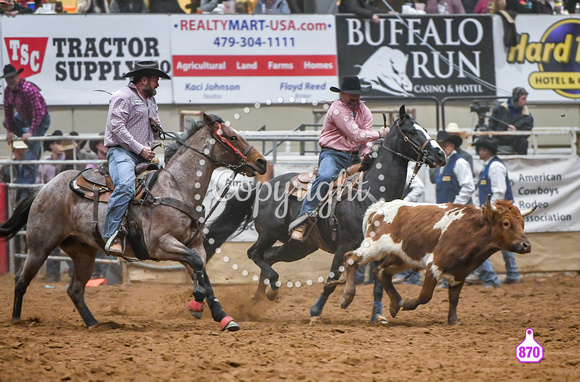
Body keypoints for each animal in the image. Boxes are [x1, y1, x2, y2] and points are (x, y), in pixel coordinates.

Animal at [0, 113, 268, 332]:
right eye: (232, 137)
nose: (262, 162)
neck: (177, 188)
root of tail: (44, 188)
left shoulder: (193, 245)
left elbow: (202, 271)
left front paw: (222, 317)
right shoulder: (161, 244)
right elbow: (197, 266)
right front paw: (196, 304)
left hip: (83, 251)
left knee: (74, 290)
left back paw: (94, 324)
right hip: (40, 246)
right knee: (21, 280)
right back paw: (17, 321)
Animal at [205, 105, 448, 322]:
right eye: (411, 131)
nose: (440, 154)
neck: (370, 192)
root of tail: (263, 186)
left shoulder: (379, 249)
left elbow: (378, 282)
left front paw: (378, 314)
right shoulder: (344, 246)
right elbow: (332, 280)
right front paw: (316, 311)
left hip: (300, 245)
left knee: (269, 257)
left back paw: (260, 298)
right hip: (269, 233)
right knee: (255, 254)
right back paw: (270, 289)